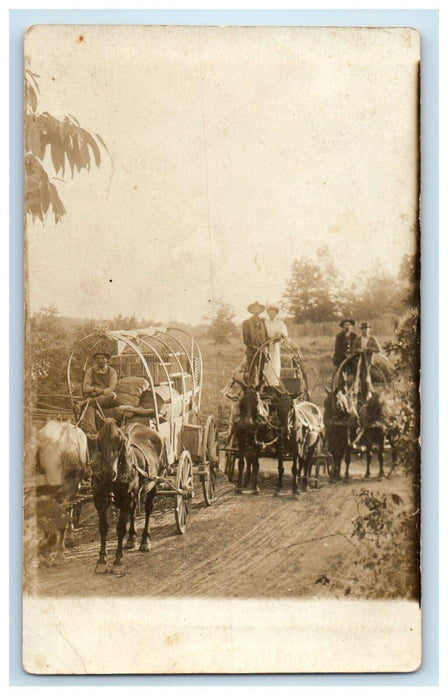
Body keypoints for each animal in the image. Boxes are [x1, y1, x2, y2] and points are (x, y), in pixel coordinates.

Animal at [92, 416, 162, 576]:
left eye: (120, 441)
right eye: (99, 440)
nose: (108, 473)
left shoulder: (127, 499)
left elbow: (120, 529)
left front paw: (118, 560)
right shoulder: (99, 498)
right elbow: (103, 527)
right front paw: (102, 560)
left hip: (153, 485)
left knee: (148, 510)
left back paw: (145, 541)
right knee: (133, 511)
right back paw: (131, 539)